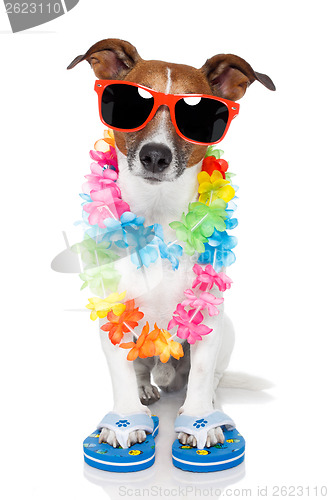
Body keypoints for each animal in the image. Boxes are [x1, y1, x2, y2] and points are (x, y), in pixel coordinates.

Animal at [67, 39, 274, 450]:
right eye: (130, 104)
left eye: (199, 117)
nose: (155, 155)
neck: (158, 215)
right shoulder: (114, 316)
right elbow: (121, 375)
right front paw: (124, 421)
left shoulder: (208, 320)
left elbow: (202, 376)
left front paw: (199, 421)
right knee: (140, 371)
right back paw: (145, 390)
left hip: (227, 330)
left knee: (208, 378)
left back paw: (209, 401)